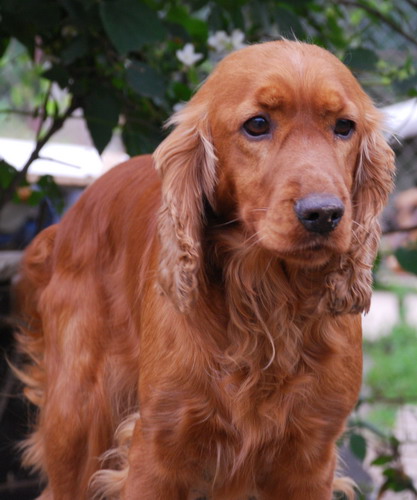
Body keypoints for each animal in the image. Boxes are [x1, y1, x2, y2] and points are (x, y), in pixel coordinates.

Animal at [16, 40, 394, 499]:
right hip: (77, 421)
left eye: (344, 126)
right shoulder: (159, 449)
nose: (323, 214)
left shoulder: (310, 457)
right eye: (257, 124)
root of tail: (65, 223)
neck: (266, 305)